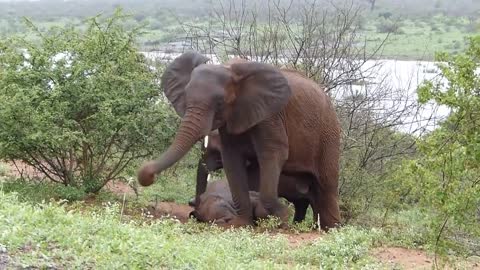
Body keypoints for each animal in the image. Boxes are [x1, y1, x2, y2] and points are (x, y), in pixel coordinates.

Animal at [138, 52, 342, 230]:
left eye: (220, 102)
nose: (147, 175)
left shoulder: (270, 116)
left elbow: (272, 154)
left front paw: (279, 218)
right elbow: (232, 160)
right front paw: (241, 224)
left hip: (329, 134)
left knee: (326, 186)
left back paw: (330, 230)